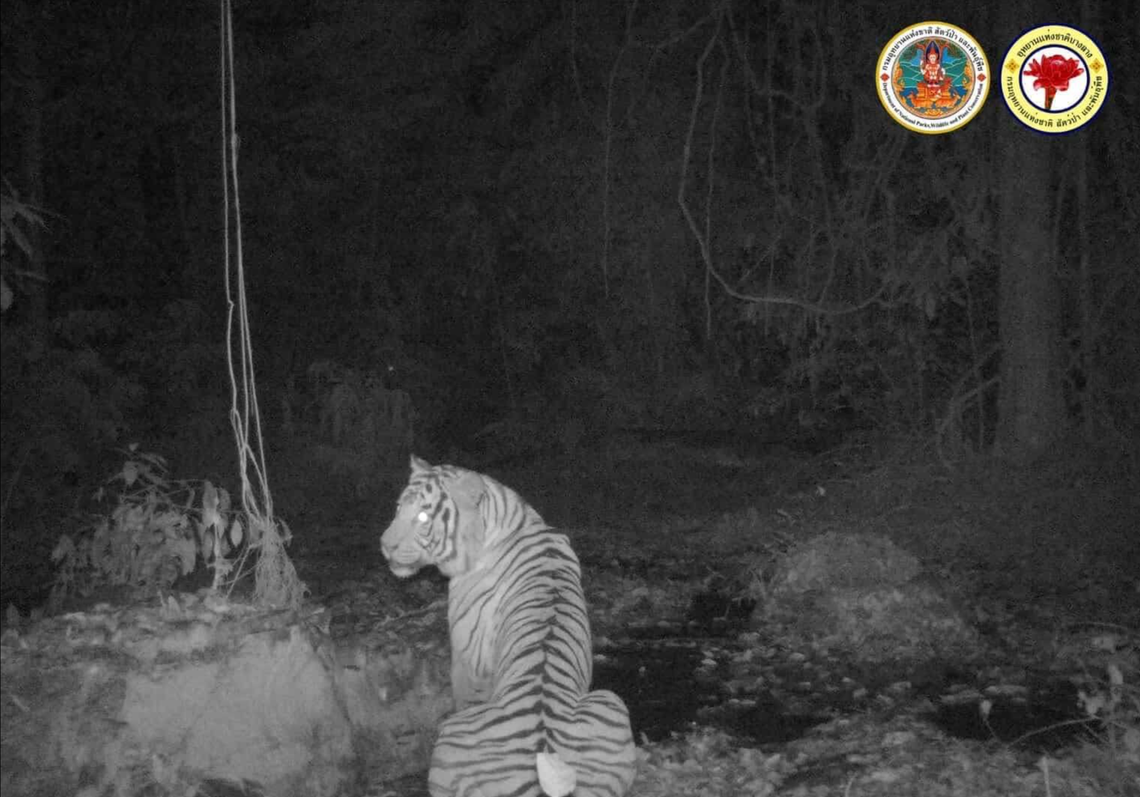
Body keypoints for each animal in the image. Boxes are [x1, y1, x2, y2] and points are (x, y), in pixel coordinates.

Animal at [380, 455, 636, 797]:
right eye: (398, 508)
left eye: (422, 515)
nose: (385, 545)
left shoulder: (467, 659)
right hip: (611, 701)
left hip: (451, 735)